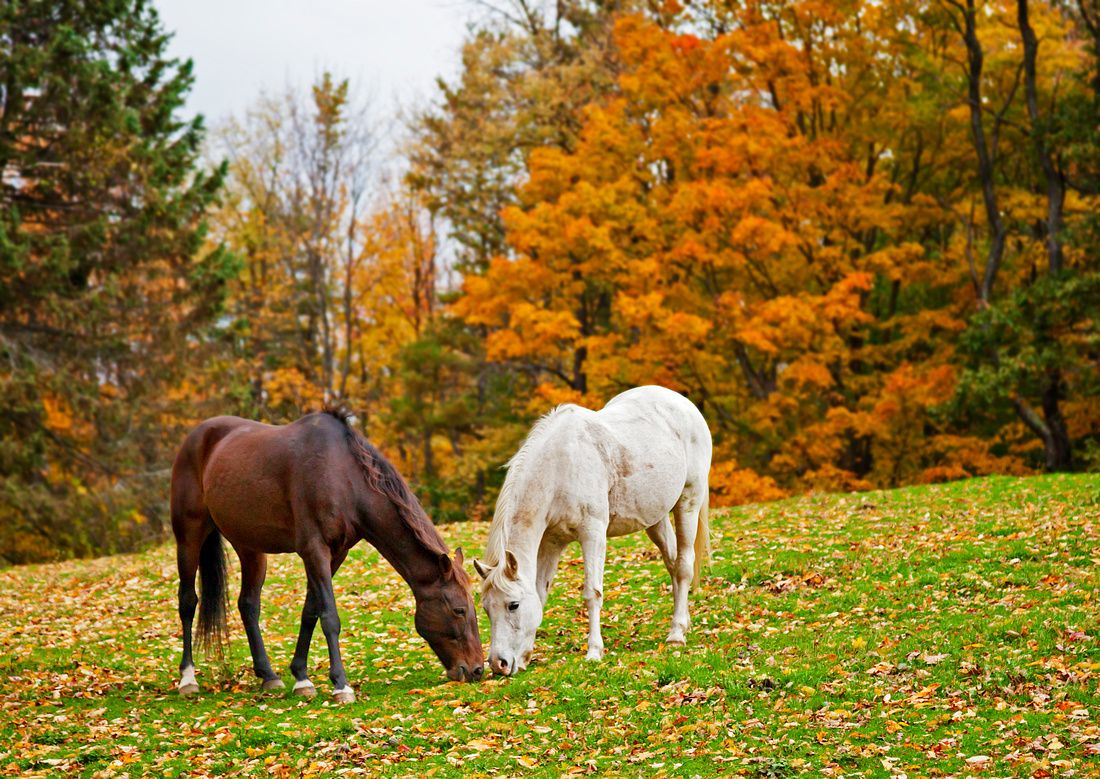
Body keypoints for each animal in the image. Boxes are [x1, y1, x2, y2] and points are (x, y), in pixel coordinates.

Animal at [170, 407, 481, 699]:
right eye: (459, 609)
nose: (477, 670)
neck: (342, 476)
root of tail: (198, 436)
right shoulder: (314, 550)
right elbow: (329, 615)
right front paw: (341, 685)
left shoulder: (336, 554)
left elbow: (311, 611)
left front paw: (302, 678)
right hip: (189, 538)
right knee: (188, 602)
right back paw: (188, 679)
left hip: (251, 549)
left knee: (248, 606)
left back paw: (268, 675)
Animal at [473, 385, 712, 673]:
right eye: (486, 608)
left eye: (513, 605)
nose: (499, 664)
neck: (560, 467)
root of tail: (684, 403)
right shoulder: (552, 542)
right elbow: (541, 593)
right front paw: (526, 656)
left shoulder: (593, 534)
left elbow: (592, 593)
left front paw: (594, 651)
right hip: (655, 520)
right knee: (673, 564)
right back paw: (682, 623)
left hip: (688, 501)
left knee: (684, 566)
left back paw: (676, 634)